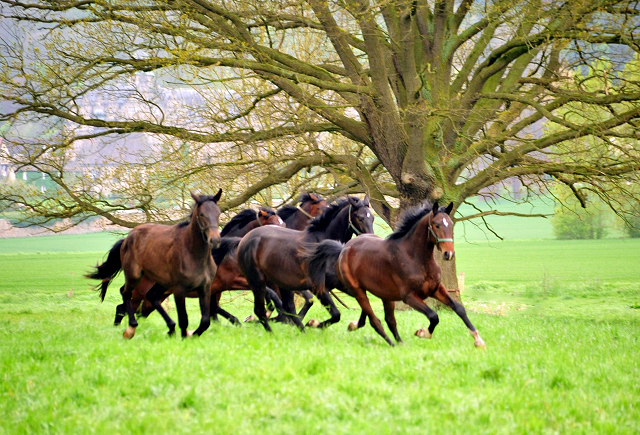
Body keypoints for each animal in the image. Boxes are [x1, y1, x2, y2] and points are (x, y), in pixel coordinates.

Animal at [87, 192, 222, 340]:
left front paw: (192, 334)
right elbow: (183, 320)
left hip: (161, 282)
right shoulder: (179, 290)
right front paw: (185, 338)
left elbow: (205, 321)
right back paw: (131, 328)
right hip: (134, 276)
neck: (193, 254)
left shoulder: (205, 288)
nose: (215, 240)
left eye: (218, 213)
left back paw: (171, 328)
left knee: (151, 296)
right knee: (126, 294)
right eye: (202, 214)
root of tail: (128, 238)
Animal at [238, 196, 372, 332]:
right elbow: (336, 314)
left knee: (287, 307)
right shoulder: (318, 287)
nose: (369, 238)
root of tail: (245, 239)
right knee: (263, 309)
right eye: (360, 218)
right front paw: (314, 323)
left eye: (372, 217)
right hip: (258, 281)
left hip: (281, 282)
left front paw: (354, 325)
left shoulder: (341, 284)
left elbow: (365, 305)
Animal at [306, 203, 484, 350]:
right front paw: (422, 332)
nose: (449, 254)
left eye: (451, 224)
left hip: (383, 294)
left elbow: (459, 308)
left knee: (383, 319)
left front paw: (478, 340)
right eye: (437, 225)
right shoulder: (409, 296)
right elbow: (434, 316)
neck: (416, 258)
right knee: (374, 320)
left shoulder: (436, 289)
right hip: (357, 290)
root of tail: (344, 248)